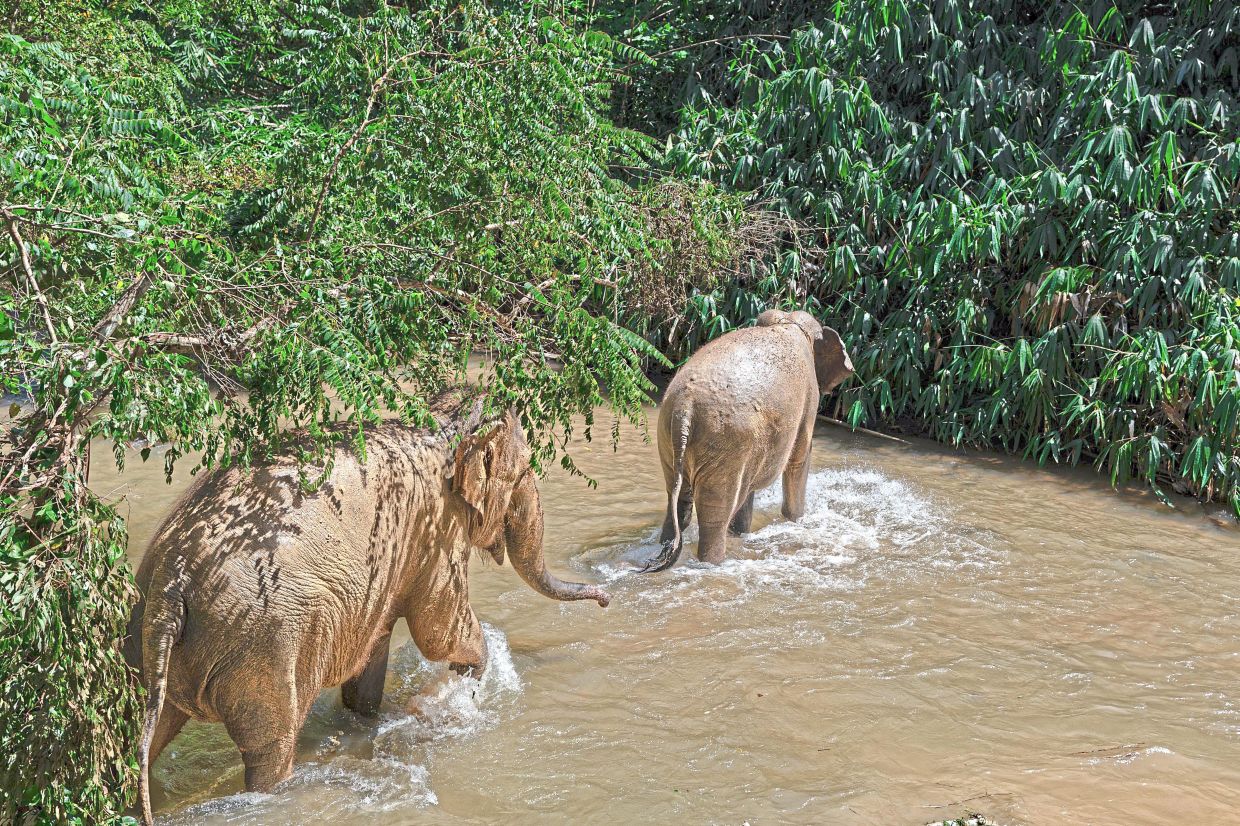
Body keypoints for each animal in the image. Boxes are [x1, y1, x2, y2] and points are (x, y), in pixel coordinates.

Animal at [124, 397, 610, 824]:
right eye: (526, 470)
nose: (606, 599)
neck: (446, 419)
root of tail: (172, 581)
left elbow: (372, 662)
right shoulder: (436, 530)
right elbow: (439, 632)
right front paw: (469, 687)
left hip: (144, 630)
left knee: (142, 730)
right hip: (264, 644)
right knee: (270, 749)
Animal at [641, 309, 853, 572]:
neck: (787, 321)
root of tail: (685, 408)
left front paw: (742, 534)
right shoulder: (809, 398)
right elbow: (798, 459)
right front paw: (796, 521)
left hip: (670, 436)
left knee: (677, 499)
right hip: (724, 444)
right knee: (714, 516)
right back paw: (714, 564)